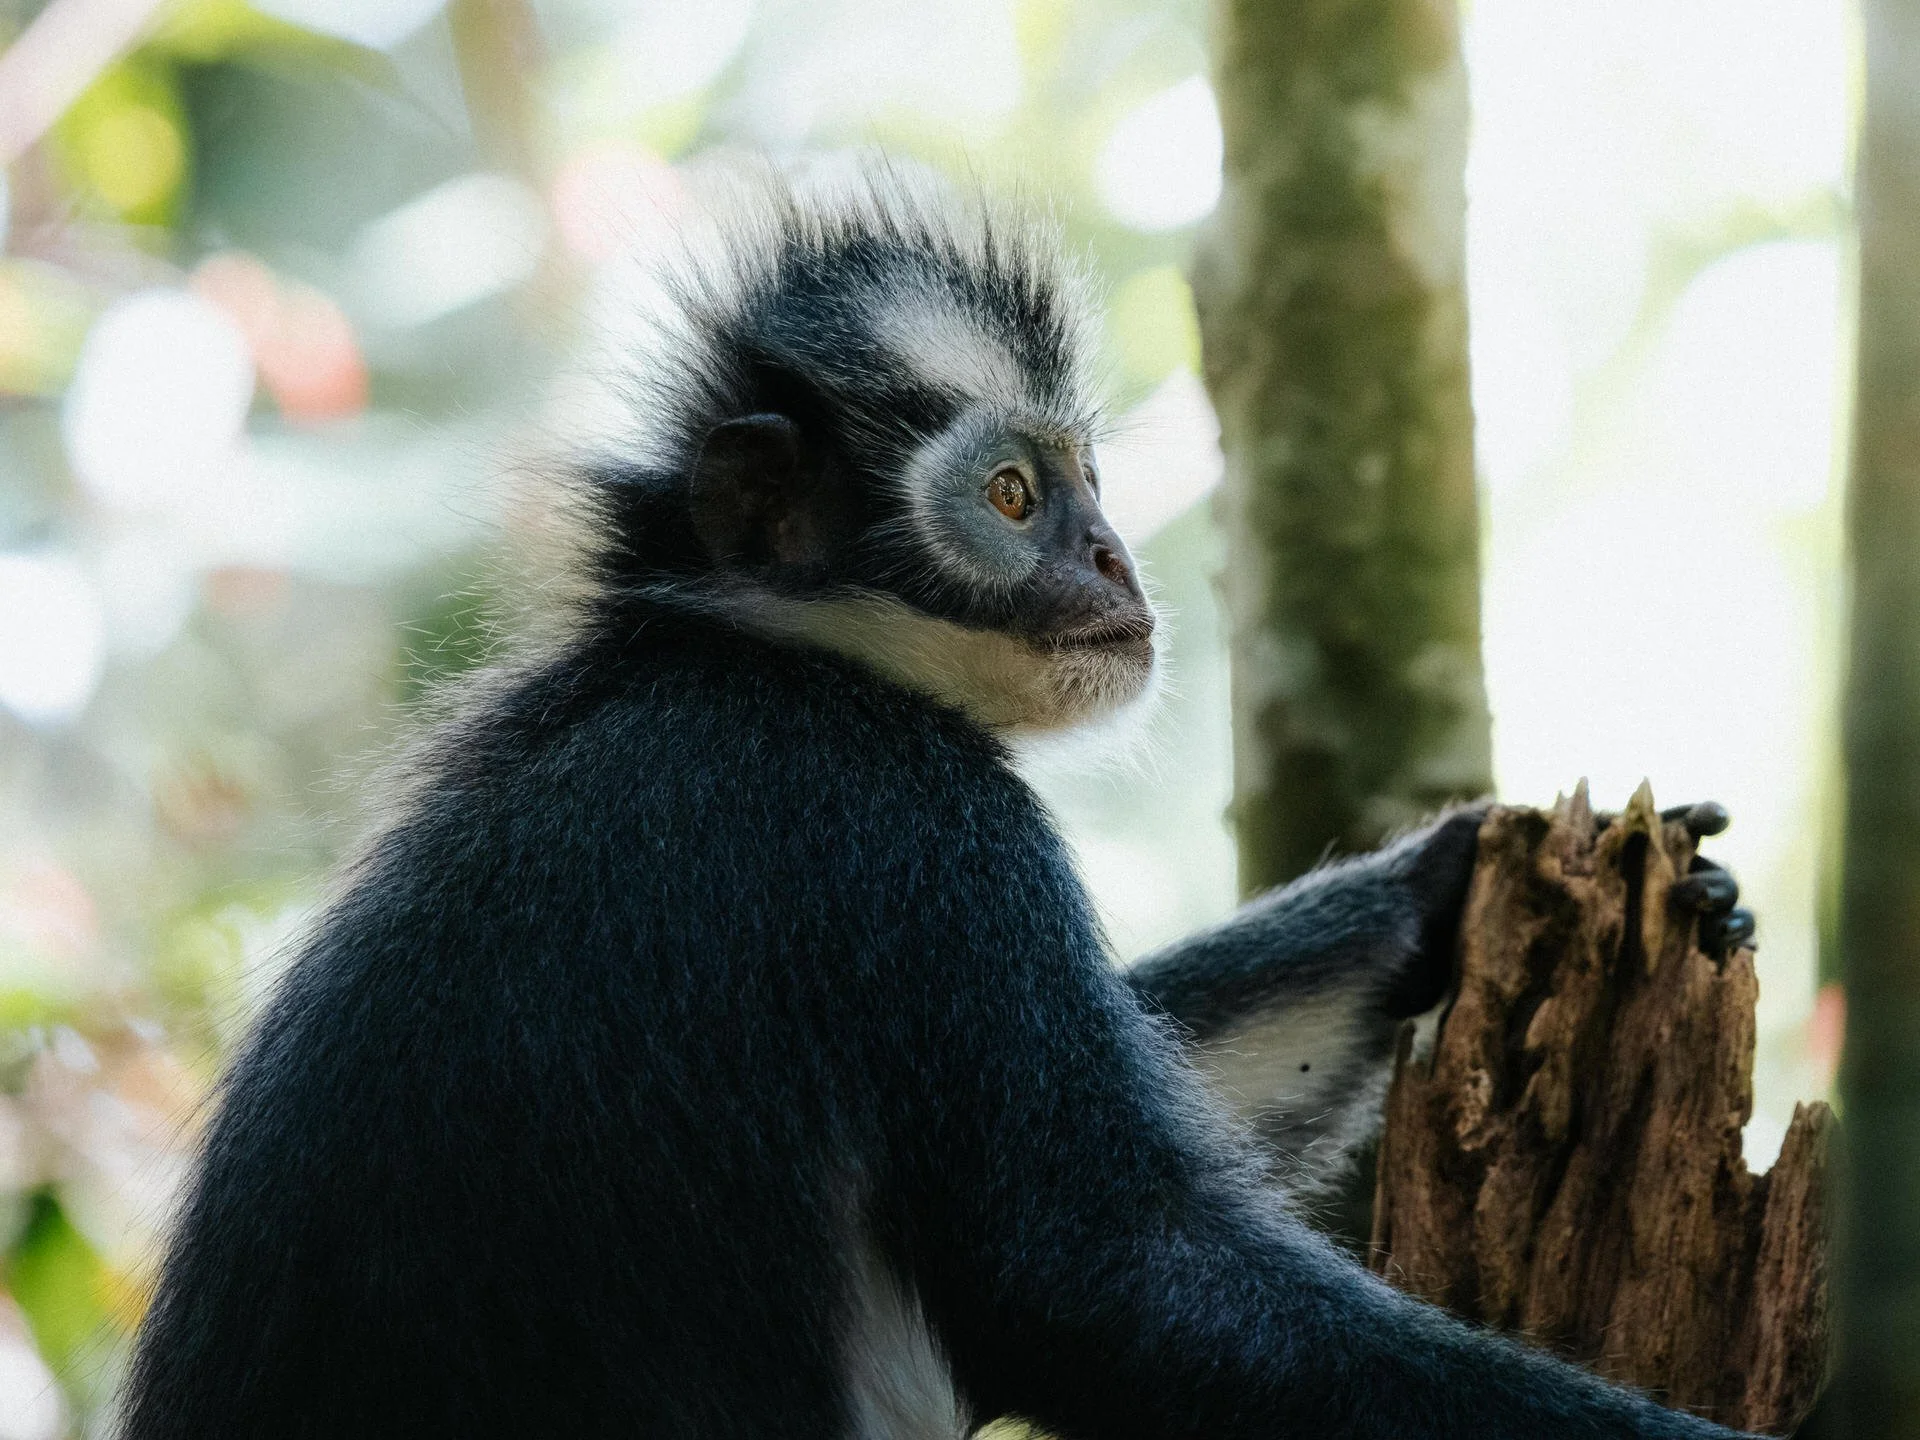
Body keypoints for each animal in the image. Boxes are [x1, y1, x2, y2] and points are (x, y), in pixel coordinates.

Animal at [117, 168, 1759, 1440]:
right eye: (1017, 497)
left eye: (1090, 481)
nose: (1113, 562)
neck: (762, 656)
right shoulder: (901, 818)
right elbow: (1099, 1283)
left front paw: (1447, 878)